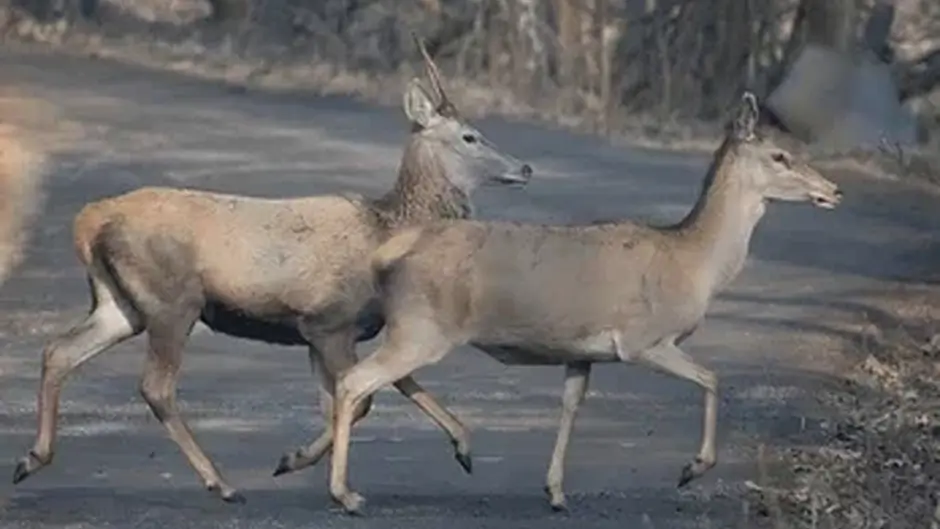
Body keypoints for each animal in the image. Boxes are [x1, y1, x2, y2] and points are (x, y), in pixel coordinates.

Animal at [11, 35, 533, 504]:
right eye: (469, 135)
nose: (525, 167)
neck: (385, 231)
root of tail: (87, 222)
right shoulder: (329, 319)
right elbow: (361, 398)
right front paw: (308, 469)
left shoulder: (328, 329)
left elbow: (375, 389)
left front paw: (462, 445)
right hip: (172, 299)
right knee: (156, 386)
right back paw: (220, 484)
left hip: (120, 302)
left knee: (59, 351)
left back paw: (31, 458)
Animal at [322, 92, 843, 514]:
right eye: (780, 156)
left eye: (799, 152)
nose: (833, 190)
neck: (693, 264)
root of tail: (388, 253)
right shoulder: (642, 339)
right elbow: (712, 378)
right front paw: (691, 468)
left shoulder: (582, 352)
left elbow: (572, 405)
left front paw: (555, 491)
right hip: (422, 326)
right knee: (355, 381)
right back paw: (346, 495)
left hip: (415, 327)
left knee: (382, 380)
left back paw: (453, 450)